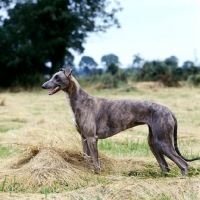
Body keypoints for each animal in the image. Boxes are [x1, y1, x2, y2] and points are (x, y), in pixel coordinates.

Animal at [41, 68, 199, 177]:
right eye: (53, 76)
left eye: (57, 77)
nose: (43, 86)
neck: (81, 100)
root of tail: (170, 112)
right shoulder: (84, 137)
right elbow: (86, 157)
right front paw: (86, 171)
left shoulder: (92, 138)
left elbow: (95, 158)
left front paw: (97, 172)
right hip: (154, 142)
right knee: (165, 166)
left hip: (163, 142)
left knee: (183, 164)